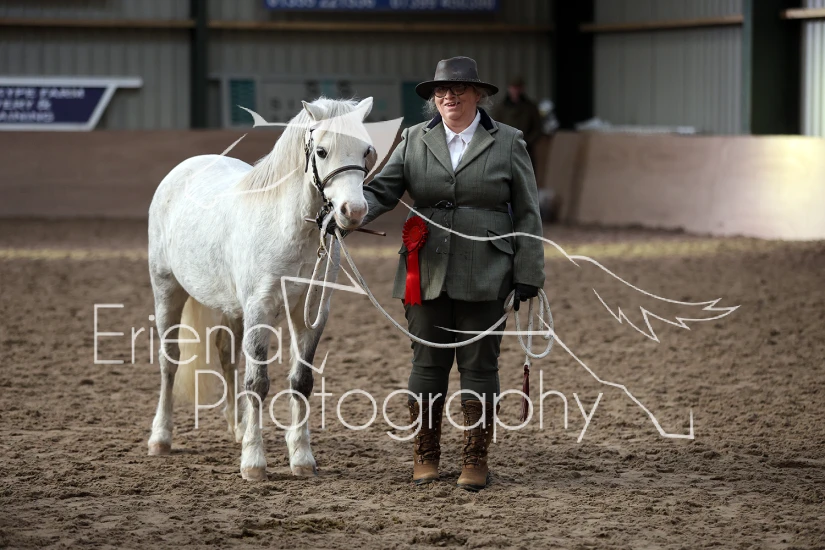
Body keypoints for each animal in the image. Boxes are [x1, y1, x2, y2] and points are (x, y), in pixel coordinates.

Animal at [146, 97, 376, 481]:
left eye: (366, 151)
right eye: (322, 151)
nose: (353, 211)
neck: (286, 227)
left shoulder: (311, 314)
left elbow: (300, 381)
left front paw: (301, 458)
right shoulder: (260, 308)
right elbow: (258, 383)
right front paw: (254, 463)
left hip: (232, 309)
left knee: (226, 354)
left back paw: (237, 428)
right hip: (167, 291)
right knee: (169, 361)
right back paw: (161, 438)